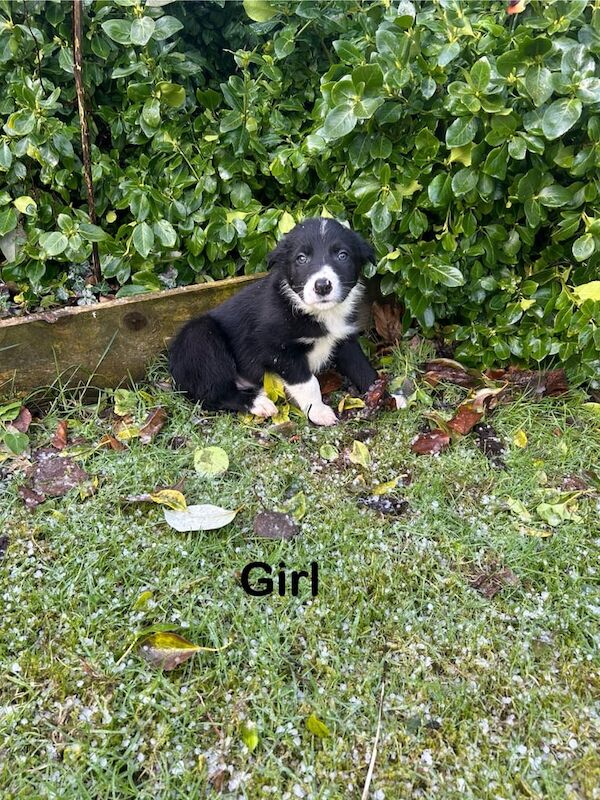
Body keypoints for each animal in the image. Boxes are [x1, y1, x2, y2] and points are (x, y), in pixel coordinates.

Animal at [168, 212, 376, 424]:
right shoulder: (276, 350)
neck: (315, 312)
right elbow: (308, 383)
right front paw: (318, 411)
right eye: (301, 258)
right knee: (213, 394)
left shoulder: (343, 339)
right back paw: (259, 403)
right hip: (200, 336)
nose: (322, 286)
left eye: (342, 255)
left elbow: (361, 366)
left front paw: (382, 393)